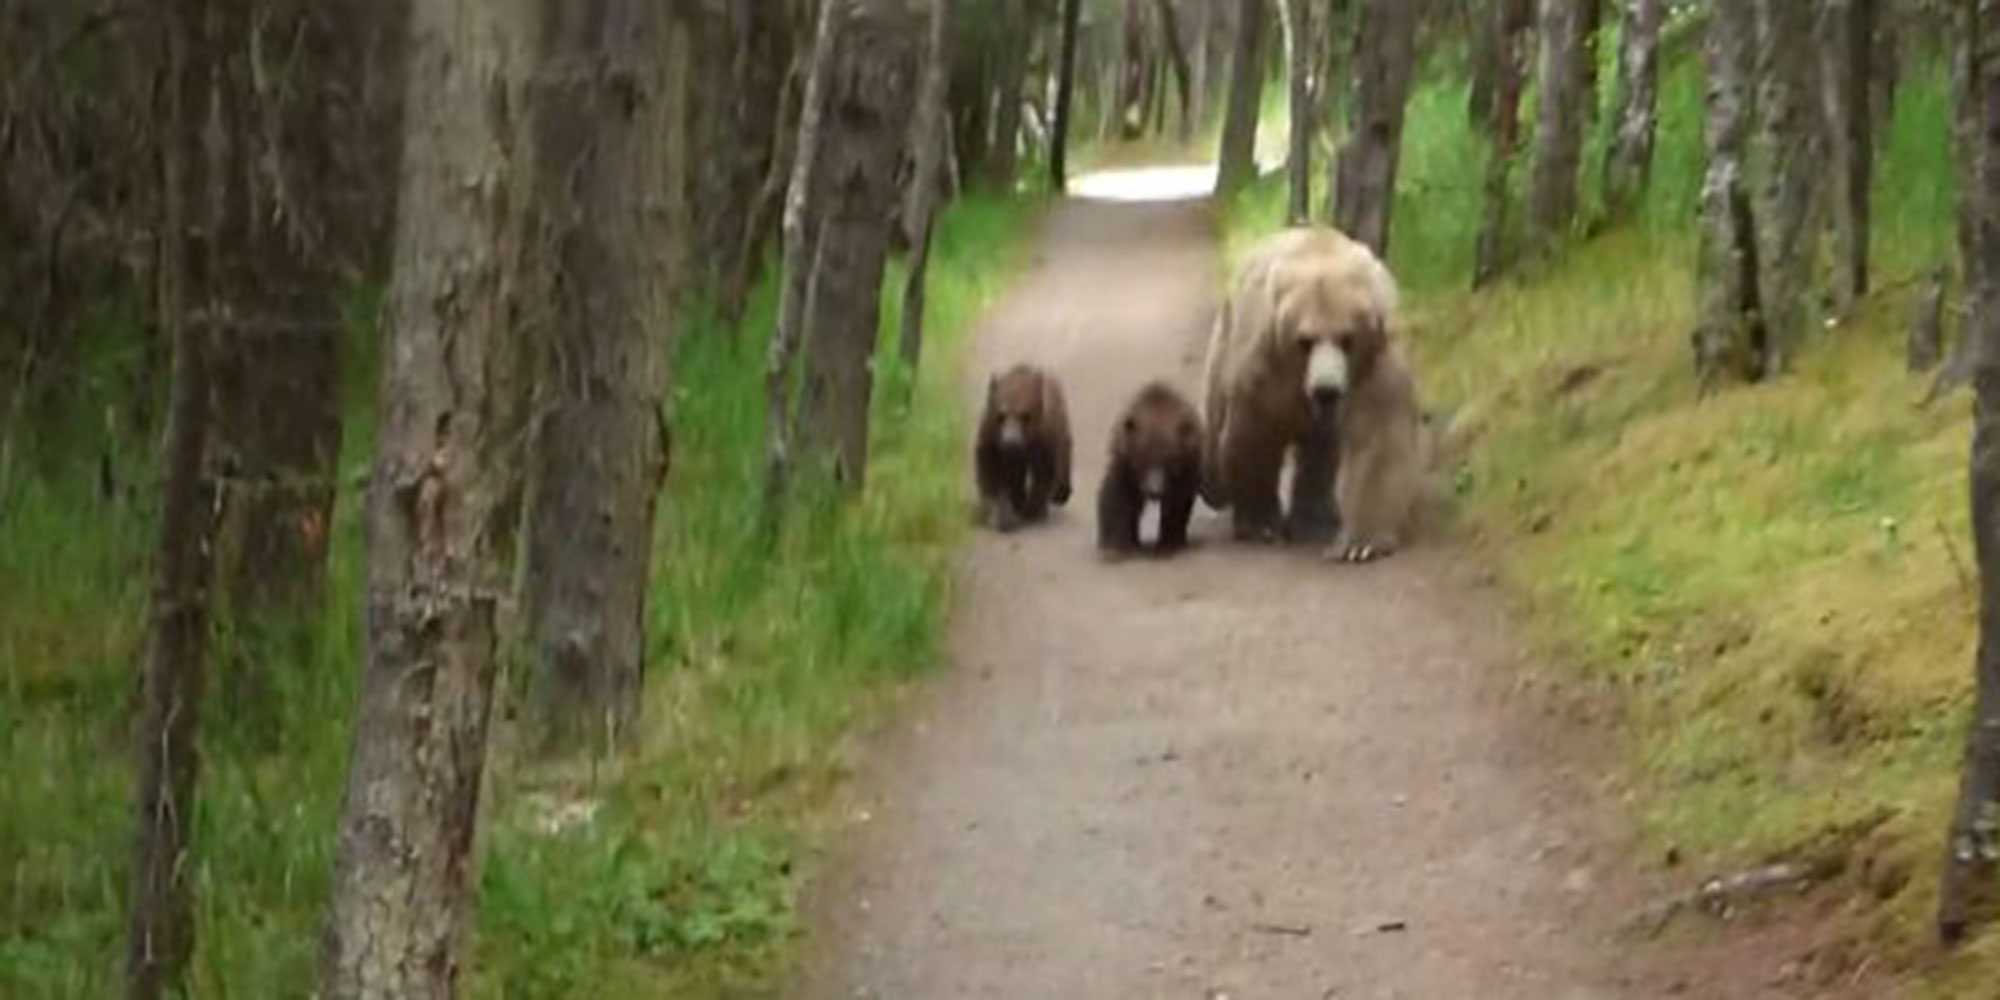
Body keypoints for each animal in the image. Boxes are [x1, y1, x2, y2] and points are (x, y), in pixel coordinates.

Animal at [974, 363, 1073, 531]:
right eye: (1001, 415)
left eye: (1025, 415)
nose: (1011, 441)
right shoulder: (992, 436)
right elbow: (989, 469)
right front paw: (1000, 513)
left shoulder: (1045, 438)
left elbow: (1044, 473)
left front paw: (1031, 510)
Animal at [1097, 381, 1204, 558]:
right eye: (1142, 460)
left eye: (1170, 461)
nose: (1155, 492)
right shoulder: (1124, 461)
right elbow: (1117, 498)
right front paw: (1115, 548)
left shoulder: (1186, 465)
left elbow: (1176, 504)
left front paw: (1167, 545)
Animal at [1198, 225, 1425, 562]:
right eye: (1305, 340)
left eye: (1346, 338)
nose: (1325, 390)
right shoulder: (1268, 360)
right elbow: (1256, 435)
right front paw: (1262, 524)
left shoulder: (1373, 363)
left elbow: (1376, 441)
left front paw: (1361, 544)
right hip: (1226, 341)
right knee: (1217, 429)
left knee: (1320, 454)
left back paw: (1315, 517)